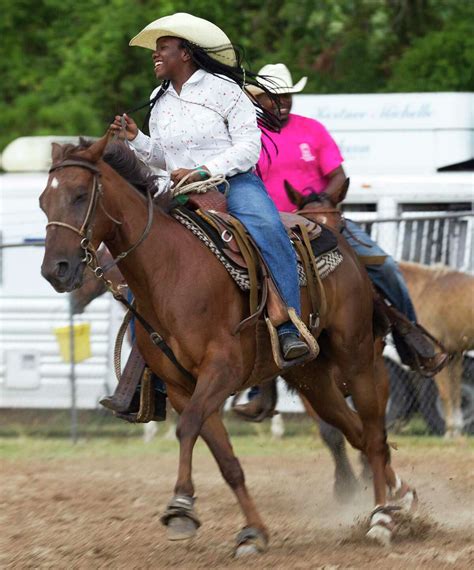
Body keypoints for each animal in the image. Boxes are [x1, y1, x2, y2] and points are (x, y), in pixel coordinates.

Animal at [39, 133, 414, 552]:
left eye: (79, 195)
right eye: (43, 200)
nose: (55, 269)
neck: (170, 270)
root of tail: (341, 246)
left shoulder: (222, 370)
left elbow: (187, 428)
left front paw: (181, 507)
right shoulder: (183, 387)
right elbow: (226, 460)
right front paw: (253, 532)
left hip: (357, 358)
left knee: (375, 435)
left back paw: (381, 517)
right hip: (313, 379)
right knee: (356, 432)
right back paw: (399, 498)